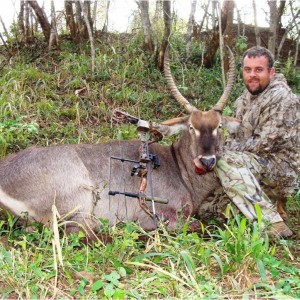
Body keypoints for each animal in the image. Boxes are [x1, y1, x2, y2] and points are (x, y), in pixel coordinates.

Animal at [0, 47, 239, 234]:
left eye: (219, 126)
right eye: (191, 127)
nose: (207, 161)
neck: (179, 168)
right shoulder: (159, 215)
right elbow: (196, 226)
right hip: (79, 203)